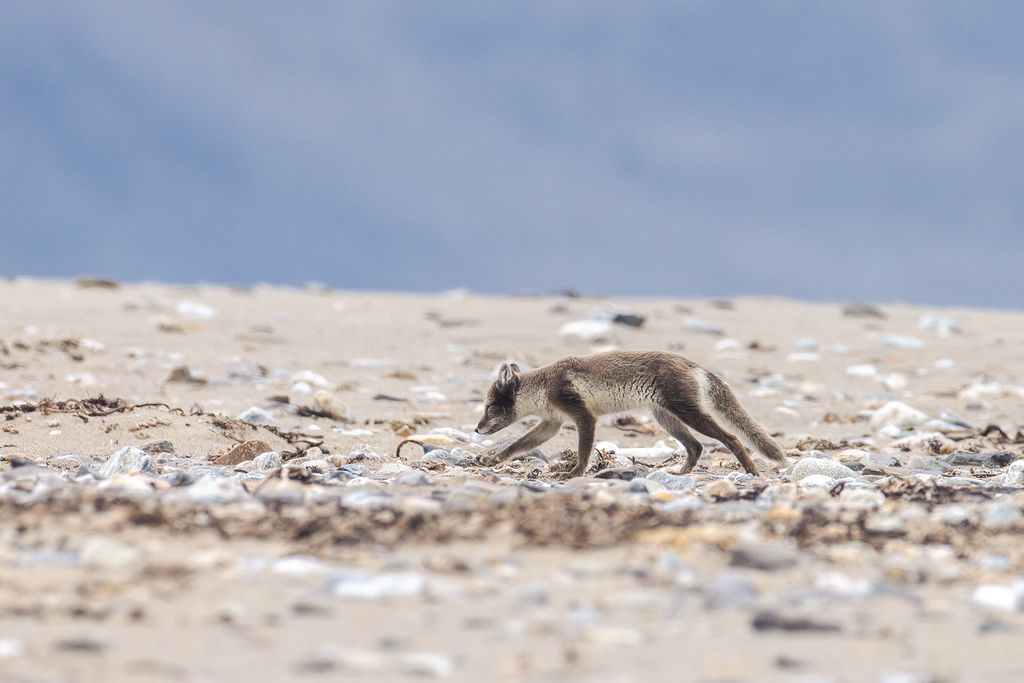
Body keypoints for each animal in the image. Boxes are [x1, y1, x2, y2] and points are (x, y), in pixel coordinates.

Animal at [475, 350, 787, 478]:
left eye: (489, 406)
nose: (477, 429)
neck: (545, 384)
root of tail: (693, 364)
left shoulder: (584, 416)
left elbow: (584, 450)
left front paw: (574, 473)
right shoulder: (551, 423)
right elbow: (516, 445)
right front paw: (490, 460)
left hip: (688, 413)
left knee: (731, 438)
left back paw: (751, 472)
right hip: (666, 417)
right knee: (697, 447)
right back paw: (681, 473)